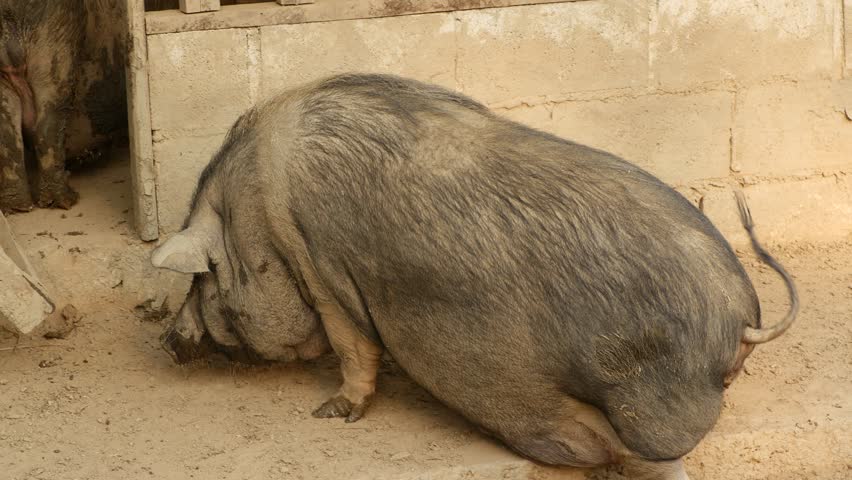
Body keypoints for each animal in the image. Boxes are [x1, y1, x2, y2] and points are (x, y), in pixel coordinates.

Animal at [150, 73, 798, 479]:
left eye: (202, 280)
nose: (167, 339)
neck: (253, 216)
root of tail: (743, 319)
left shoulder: (321, 271)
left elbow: (353, 346)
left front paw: (330, 414)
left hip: (645, 405)